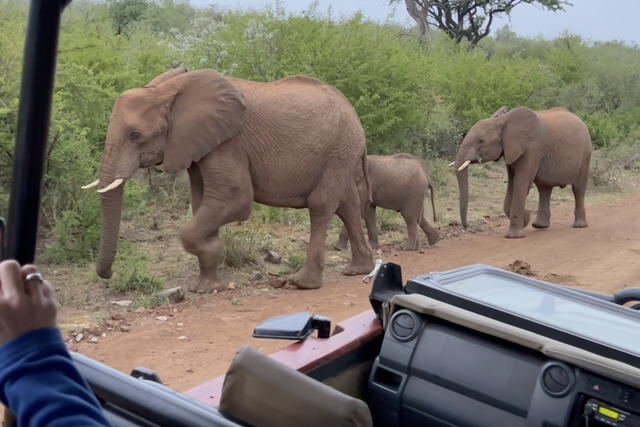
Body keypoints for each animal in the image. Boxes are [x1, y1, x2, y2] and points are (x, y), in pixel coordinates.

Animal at [81, 66, 375, 292]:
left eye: (134, 135)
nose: (107, 275)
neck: (168, 91)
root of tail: (353, 113)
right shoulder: (198, 145)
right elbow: (202, 201)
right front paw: (206, 285)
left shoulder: (228, 143)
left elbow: (234, 199)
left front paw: (211, 254)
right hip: (341, 153)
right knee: (347, 205)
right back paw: (358, 269)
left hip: (338, 151)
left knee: (321, 206)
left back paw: (303, 283)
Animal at [451, 105, 592, 238]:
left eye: (481, 141)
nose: (466, 226)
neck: (501, 121)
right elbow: (512, 184)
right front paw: (526, 218)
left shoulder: (533, 147)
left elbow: (521, 182)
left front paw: (515, 235)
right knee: (544, 188)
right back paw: (539, 225)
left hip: (586, 152)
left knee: (578, 189)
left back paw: (579, 225)